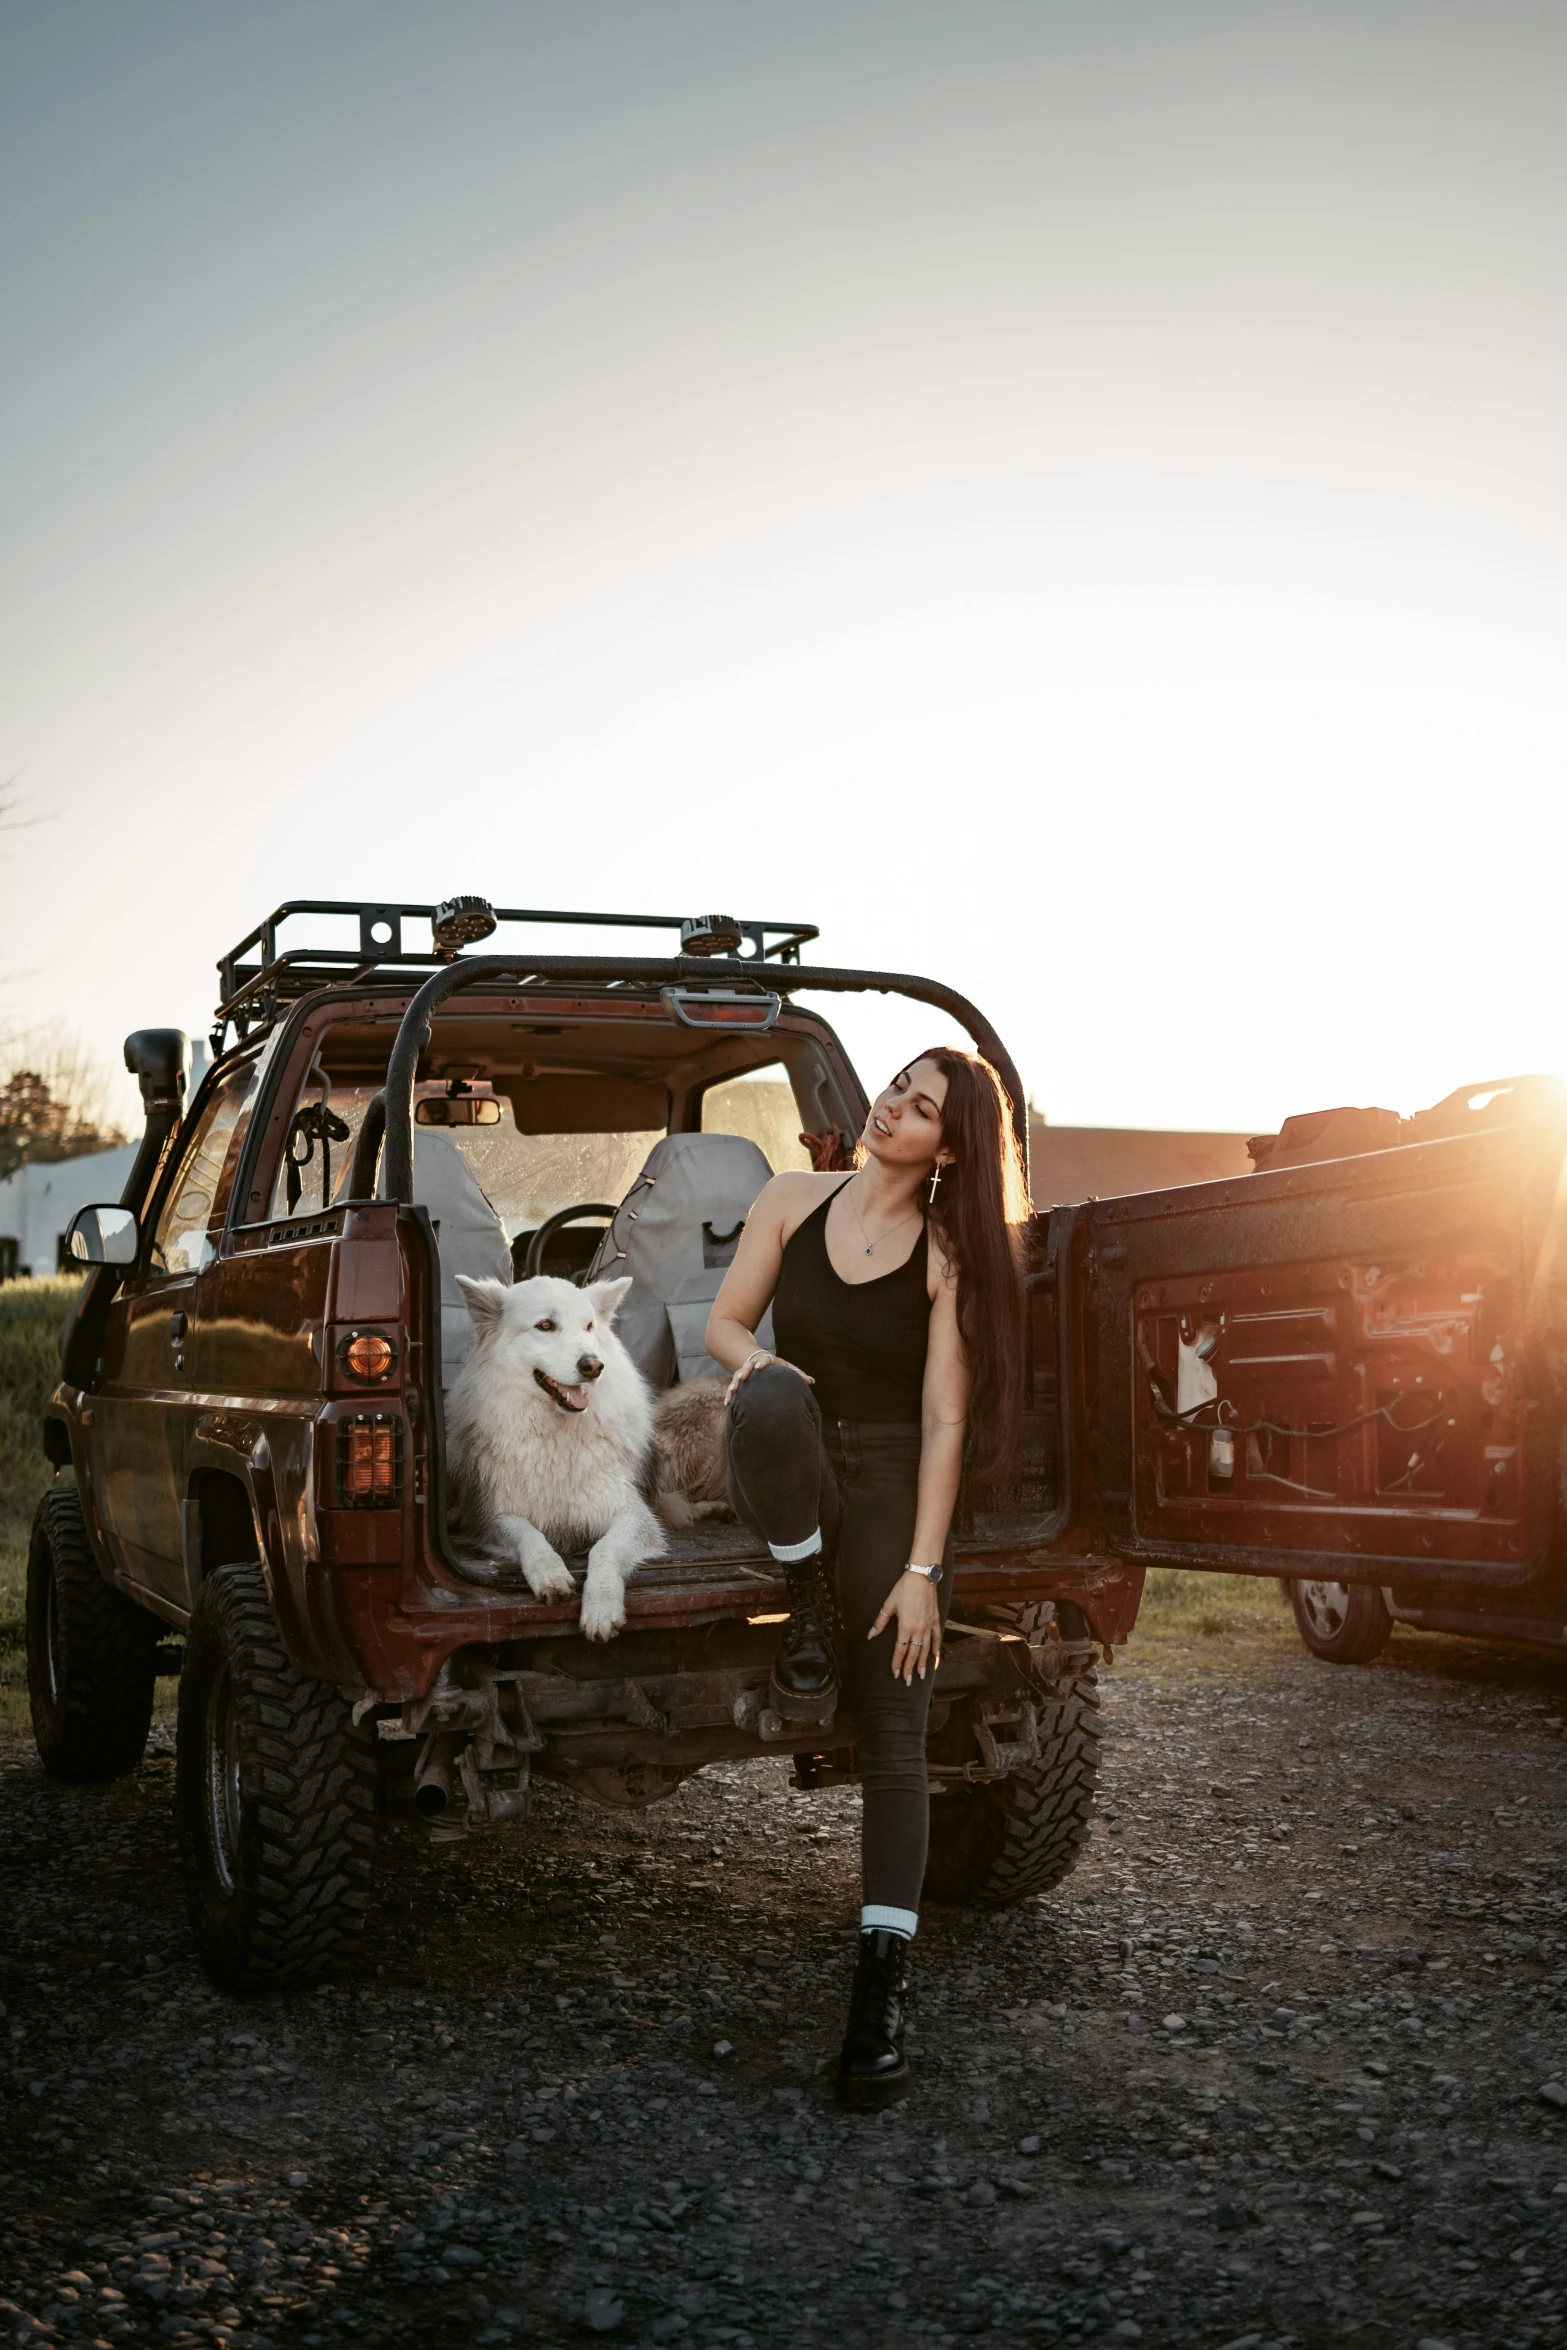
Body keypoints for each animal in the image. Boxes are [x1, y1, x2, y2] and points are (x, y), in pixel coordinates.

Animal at [444, 1278, 667, 1644]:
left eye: (589, 1327)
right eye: (545, 1325)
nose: (593, 1366)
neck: (557, 1435)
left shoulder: (634, 1516)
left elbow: (603, 1549)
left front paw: (601, 1607)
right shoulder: (497, 1517)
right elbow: (531, 1536)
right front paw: (550, 1573)